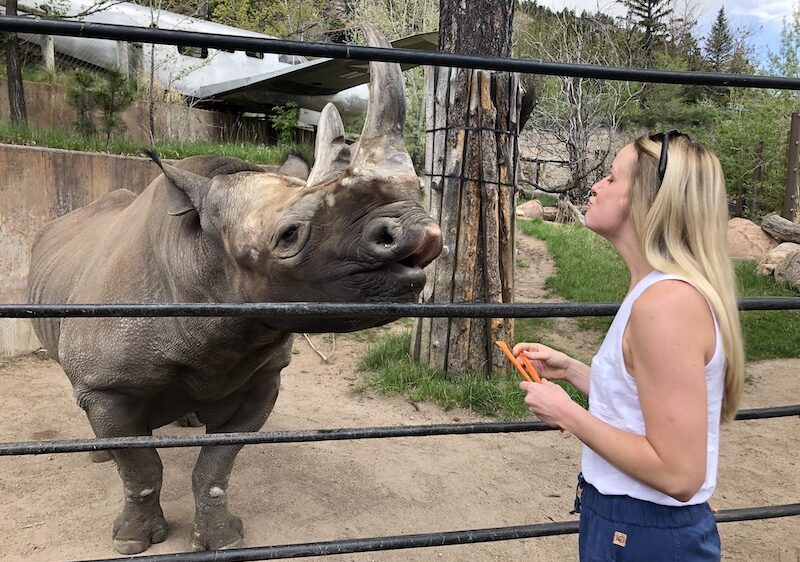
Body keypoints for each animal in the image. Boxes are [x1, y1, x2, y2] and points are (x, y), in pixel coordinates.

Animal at [27, 25, 442, 555]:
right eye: (289, 235)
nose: (419, 233)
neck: (200, 260)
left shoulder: (261, 375)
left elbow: (216, 465)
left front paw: (221, 539)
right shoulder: (106, 385)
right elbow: (141, 468)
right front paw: (134, 542)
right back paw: (101, 456)